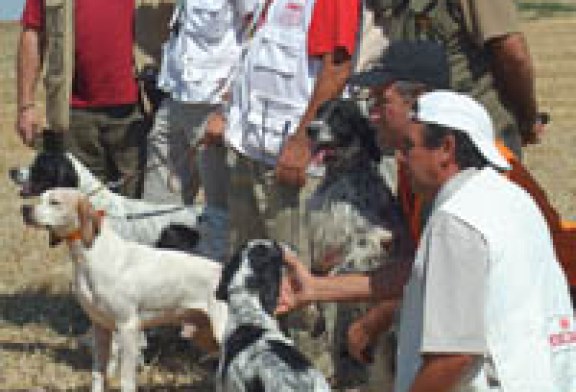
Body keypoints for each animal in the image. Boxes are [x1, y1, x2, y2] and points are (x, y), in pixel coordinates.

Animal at [20, 188, 227, 392]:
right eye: (41, 197)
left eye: (55, 202)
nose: (25, 209)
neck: (92, 255)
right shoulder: (100, 327)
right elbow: (97, 374)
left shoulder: (127, 327)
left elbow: (126, 380)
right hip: (204, 335)